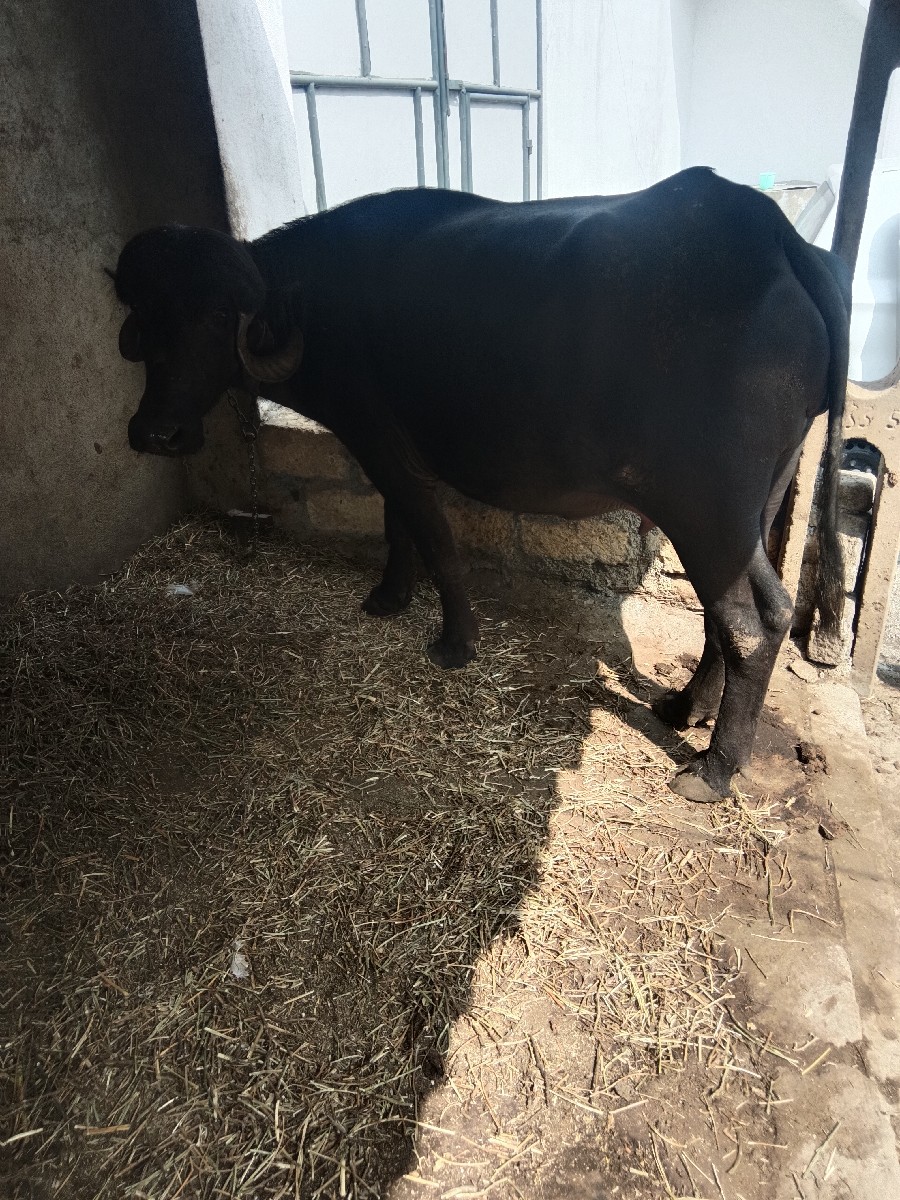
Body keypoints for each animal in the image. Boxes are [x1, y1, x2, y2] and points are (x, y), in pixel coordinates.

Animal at [112, 166, 851, 805]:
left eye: (217, 317)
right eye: (146, 320)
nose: (156, 433)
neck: (315, 305)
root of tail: (776, 238)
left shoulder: (381, 443)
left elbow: (433, 538)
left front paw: (454, 641)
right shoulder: (385, 451)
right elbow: (398, 528)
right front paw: (389, 598)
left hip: (707, 509)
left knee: (752, 622)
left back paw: (714, 768)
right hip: (759, 500)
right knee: (734, 615)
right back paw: (683, 706)